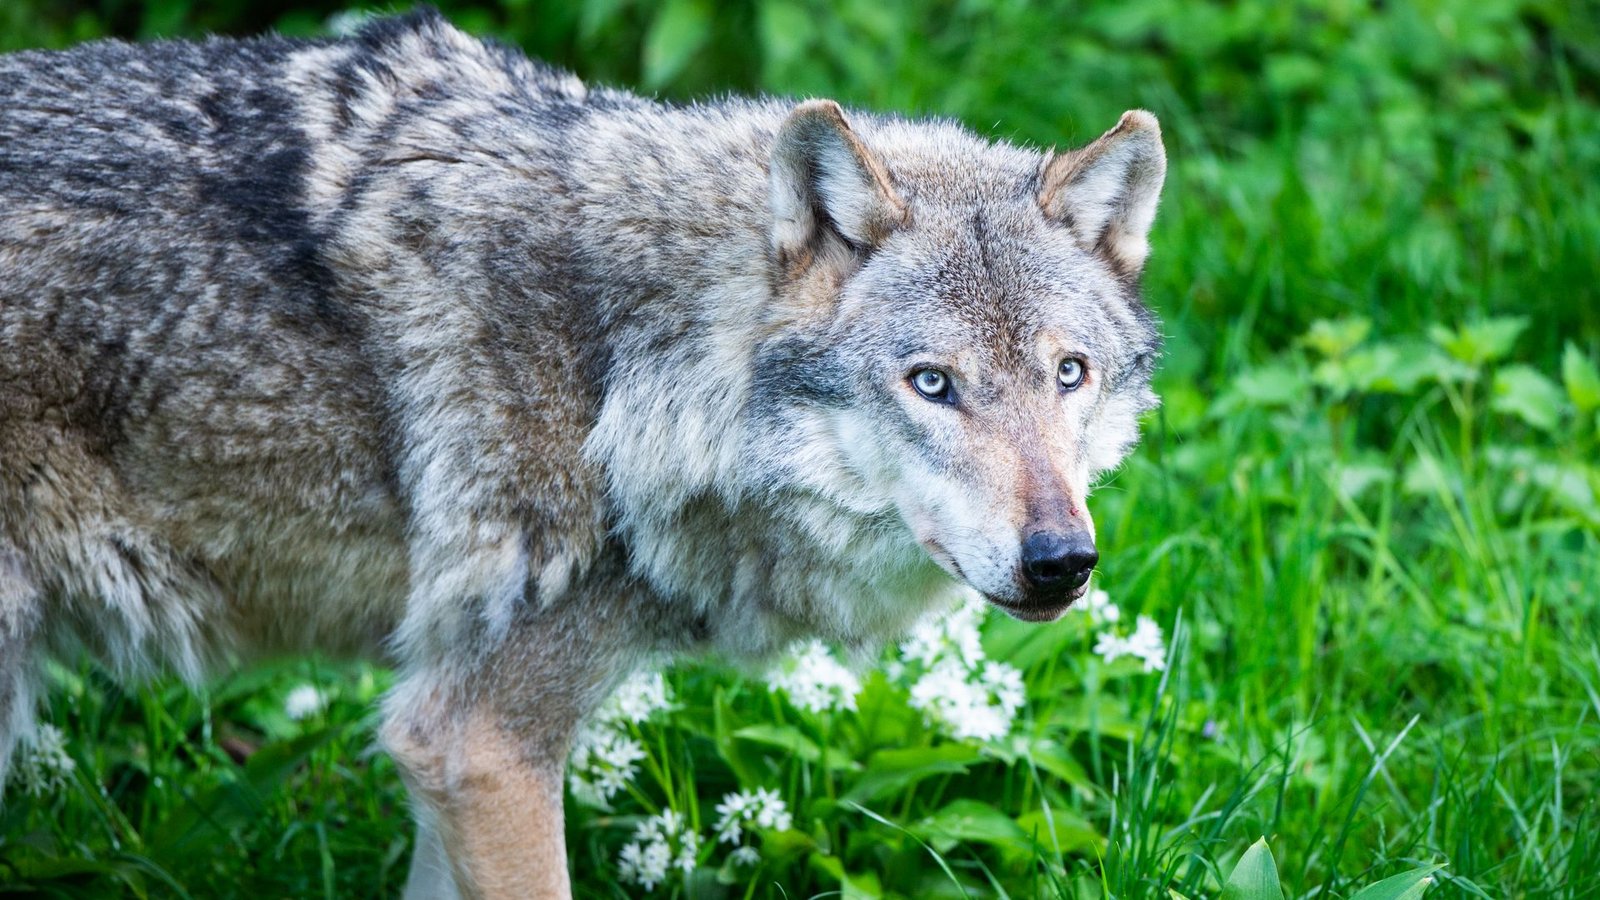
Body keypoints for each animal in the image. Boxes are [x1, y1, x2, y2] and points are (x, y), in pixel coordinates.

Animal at [0, 8, 1165, 897]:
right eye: (932, 384)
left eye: (1069, 374)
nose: (1062, 561)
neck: (627, 367)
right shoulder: (479, 743)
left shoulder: (450, 748)